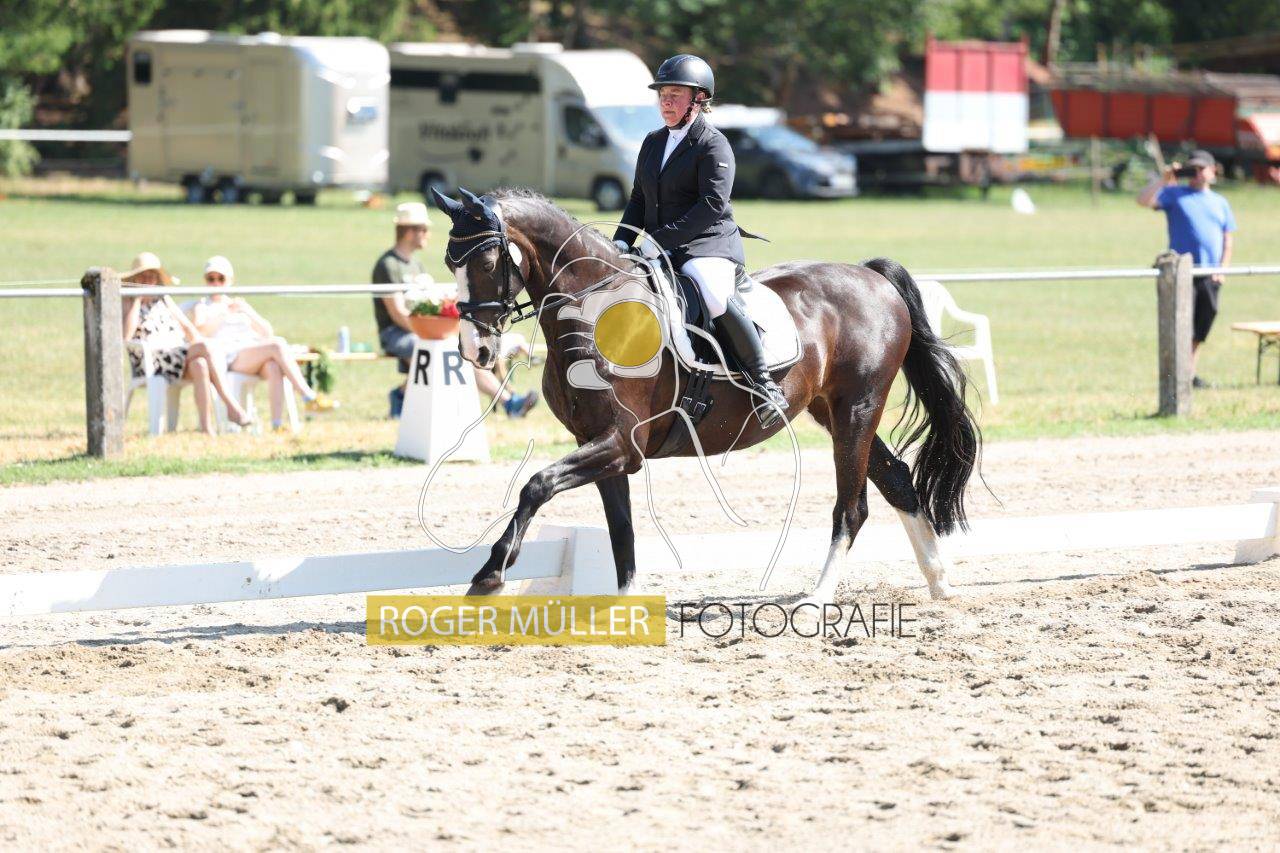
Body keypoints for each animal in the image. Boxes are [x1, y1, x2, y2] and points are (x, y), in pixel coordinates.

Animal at [431, 186, 980, 604]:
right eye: (448, 261)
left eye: (486, 259)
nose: (476, 350)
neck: (596, 310)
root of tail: (870, 275)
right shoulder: (604, 446)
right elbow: (620, 532)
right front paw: (626, 607)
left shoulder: (620, 445)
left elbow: (536, 485)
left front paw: (489, 575)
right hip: (832, 410)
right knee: (898, 480)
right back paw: (940, 581)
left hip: (858, 408)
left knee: (853, 506)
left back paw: (818, 596)